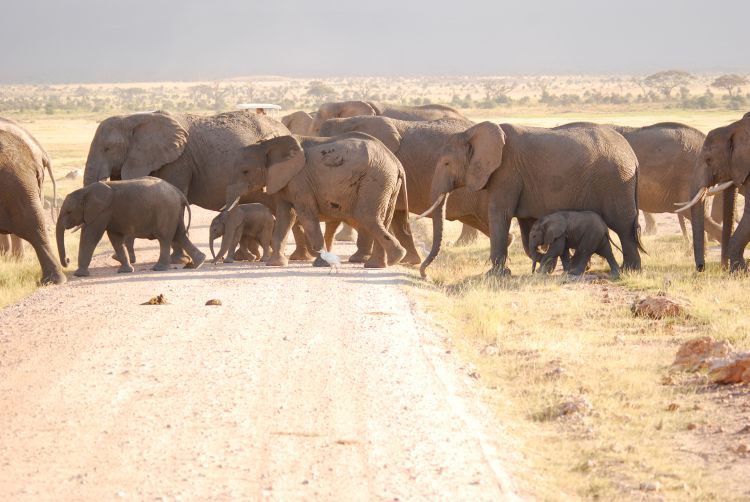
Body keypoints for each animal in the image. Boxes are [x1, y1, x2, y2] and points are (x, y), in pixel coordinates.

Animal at [56, 177, 206, 278]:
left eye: (68, 212)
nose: (68, 260)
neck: (84, 191)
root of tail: (179, 193)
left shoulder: (101, 212)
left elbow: (91, 236)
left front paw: (79, 274)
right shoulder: (108, 214)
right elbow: (115, 238)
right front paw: (125, 271)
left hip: (166, 211)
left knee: (164, 238)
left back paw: (159, 268)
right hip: (174, 211)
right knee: (180, 235)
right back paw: (199, 262)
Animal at [420, 122, 644, 278]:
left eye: (447, 163)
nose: (424, 275)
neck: (472, 132)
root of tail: (633, 157)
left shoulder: (506, 173)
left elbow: (500, 215)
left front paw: (496, 275)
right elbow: (526, 225)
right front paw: (546, 264)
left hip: (616, 183)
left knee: (624, 228)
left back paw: (630, 270)